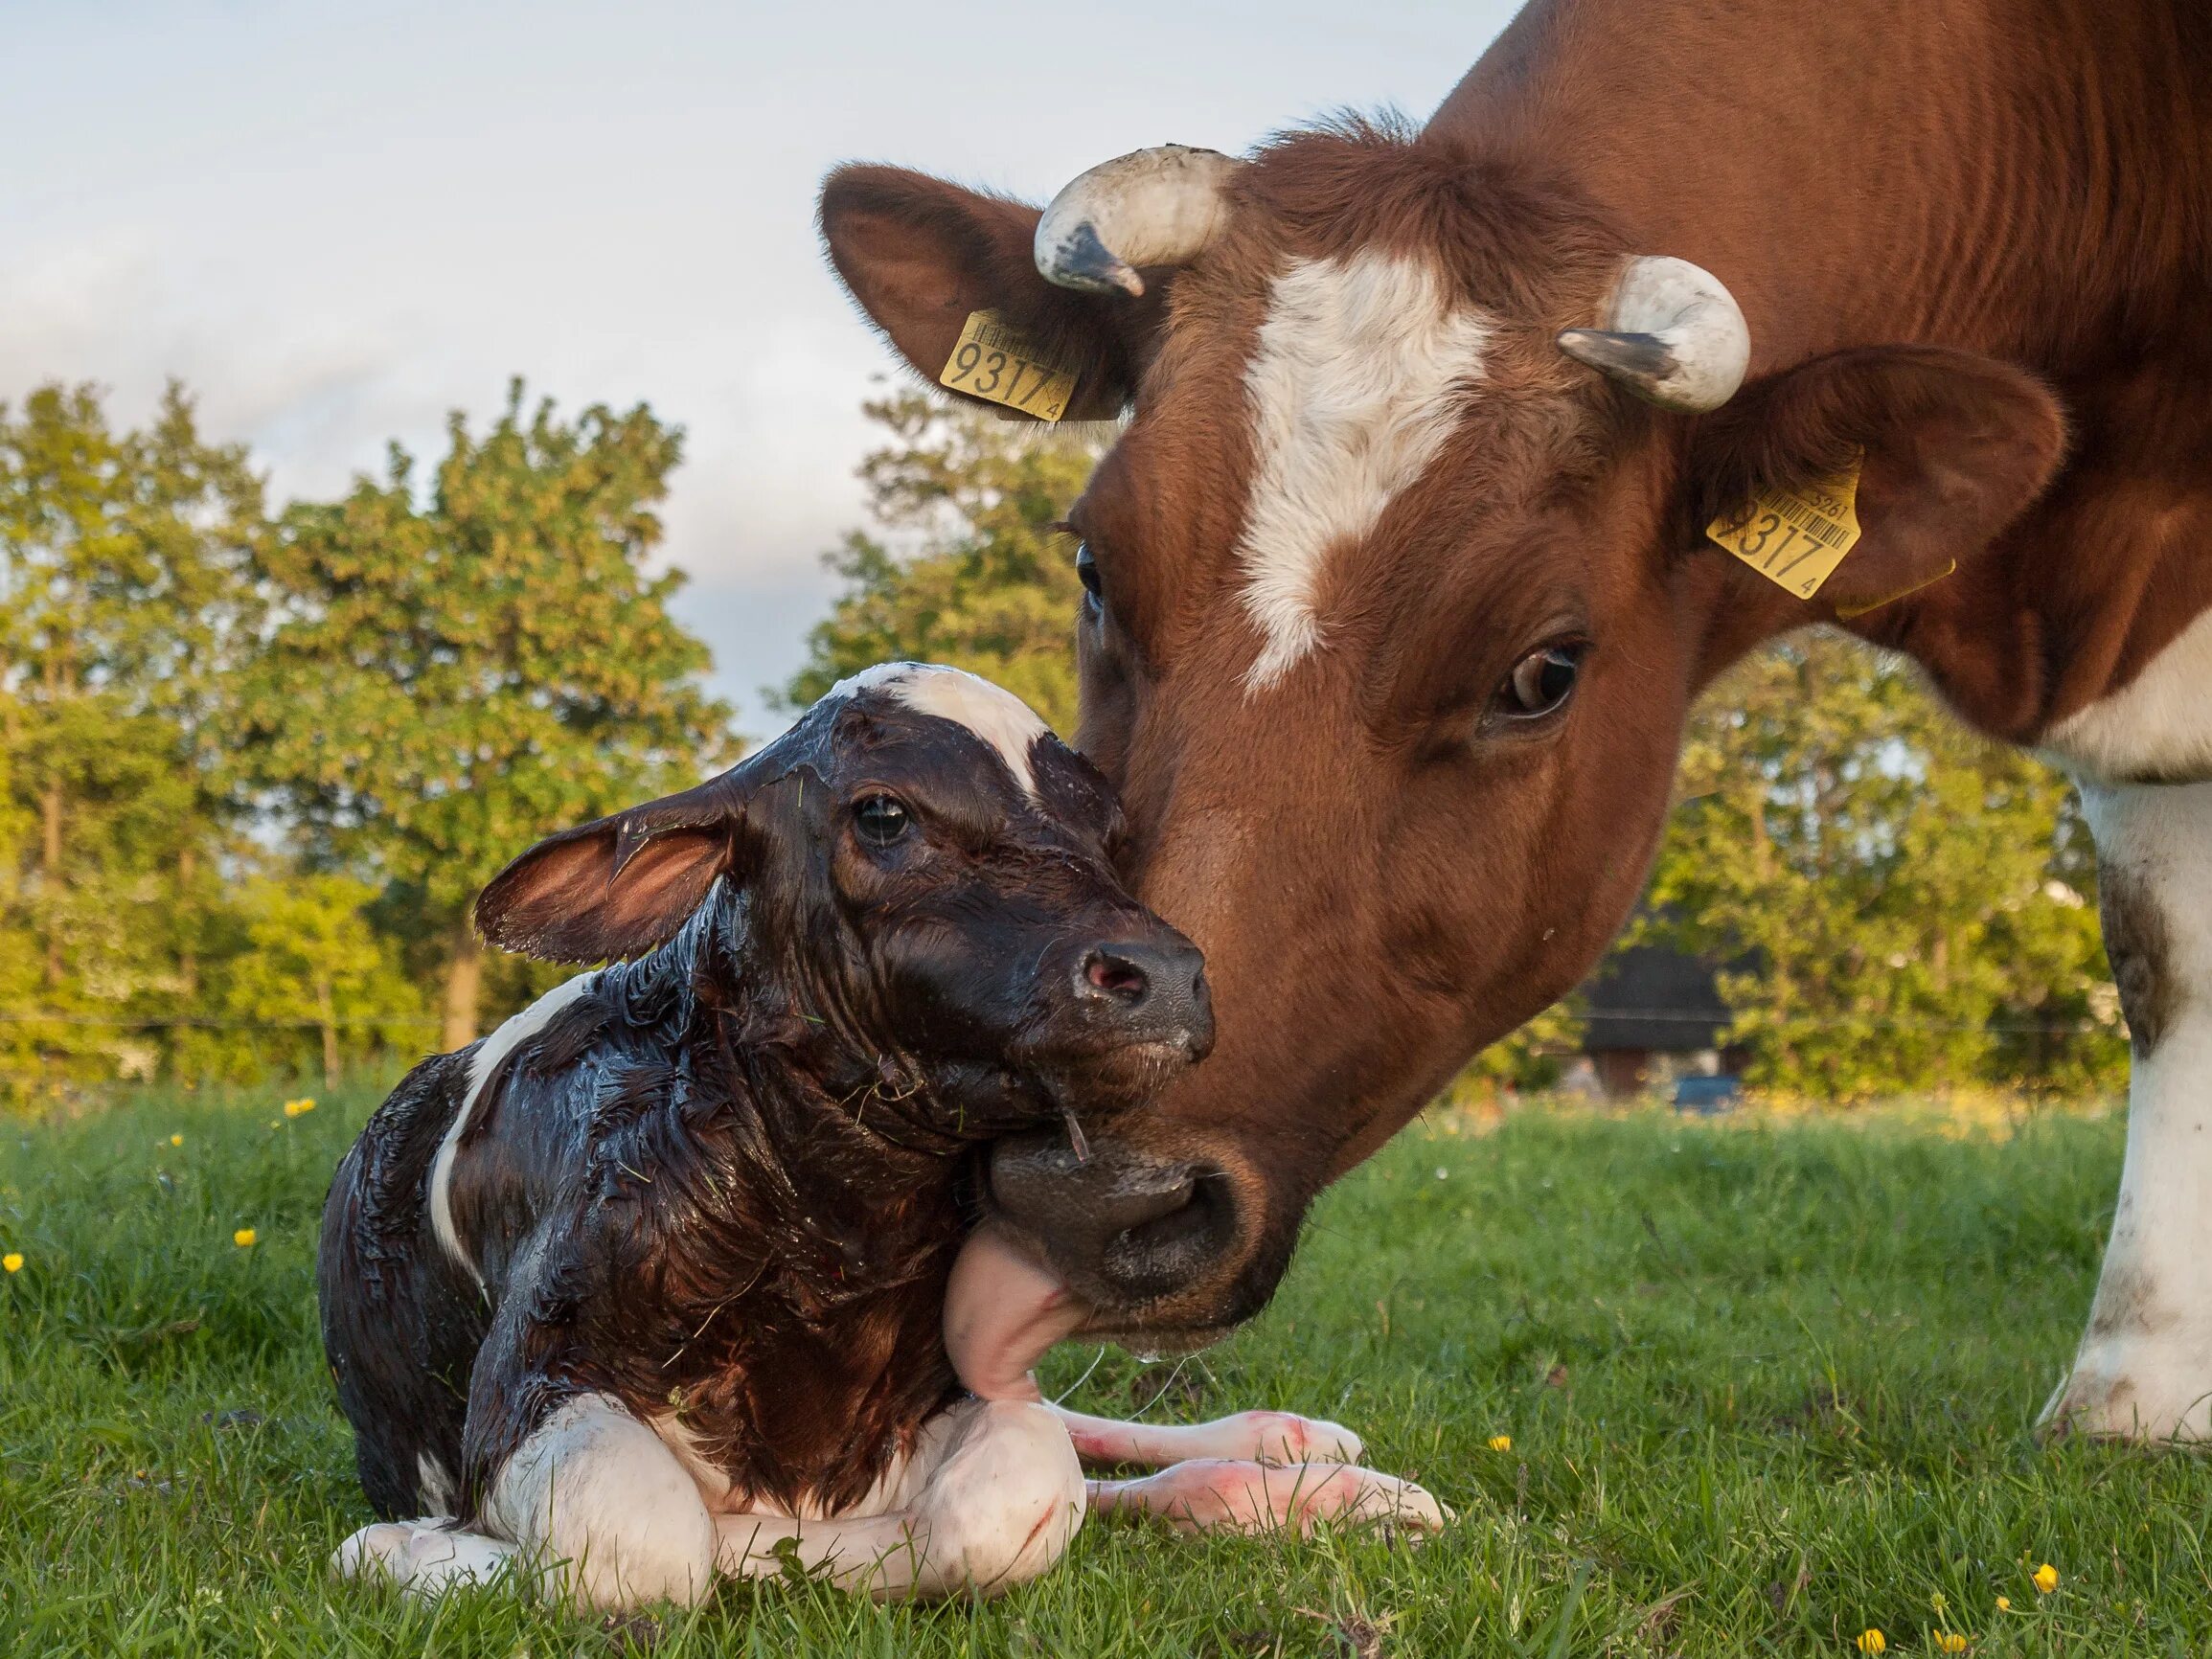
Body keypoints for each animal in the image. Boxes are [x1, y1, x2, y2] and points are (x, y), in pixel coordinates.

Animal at [320, 663, 1442, 1610]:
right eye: (883, 812)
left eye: (1108, 831)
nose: (1163, 974)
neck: (837, 1229)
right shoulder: (533, 1369)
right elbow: (649, 1543)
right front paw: (405, 1547)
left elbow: (1016, 1493)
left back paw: (1305, 1460)